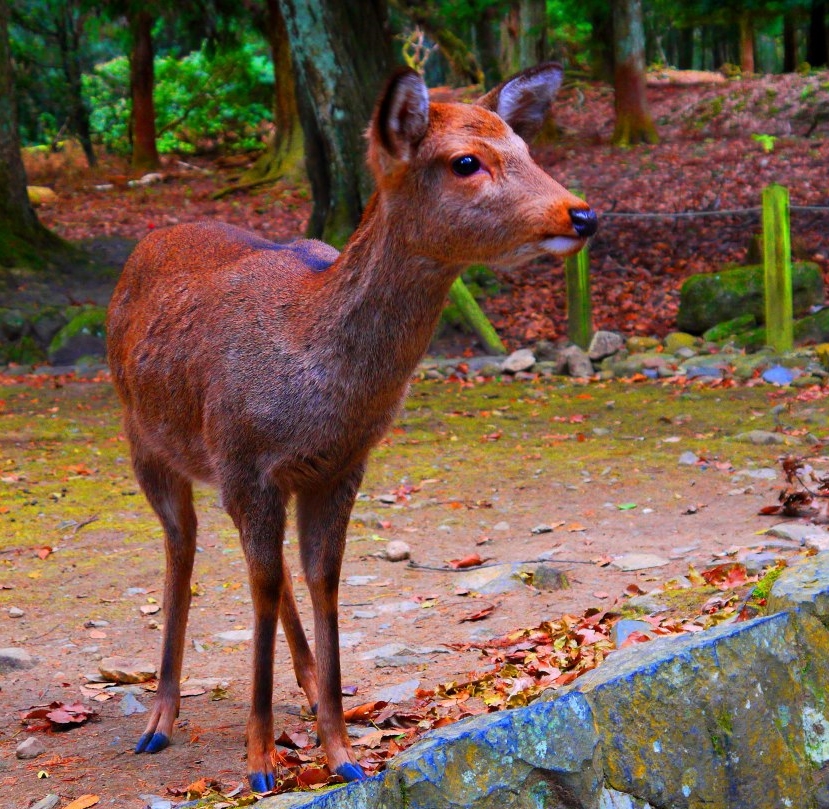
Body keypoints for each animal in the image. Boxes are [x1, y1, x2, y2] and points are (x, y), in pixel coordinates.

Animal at [106, 61, 600, 788]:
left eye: (526, 148)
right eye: (465, 161)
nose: (582, 212)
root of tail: (150, 240)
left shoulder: (338, 468)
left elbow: (321, 581)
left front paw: (342, 752)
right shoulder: (244, 461)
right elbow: (258, 590)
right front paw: (260, 763)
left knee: (261, 567)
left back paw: (309, 687)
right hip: (146, 439)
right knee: (181, 550)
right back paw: (159, 719)